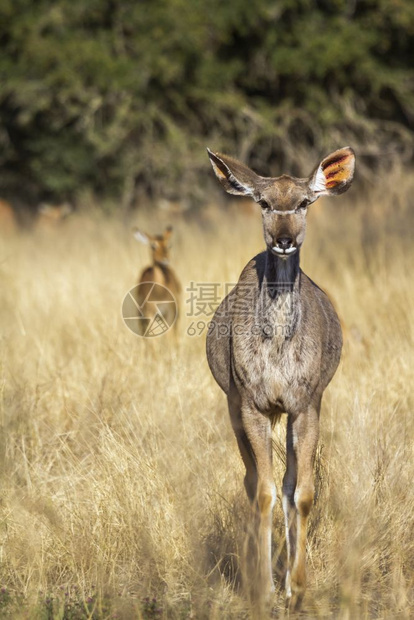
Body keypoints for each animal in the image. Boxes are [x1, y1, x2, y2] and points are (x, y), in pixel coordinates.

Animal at [205, 148, 354, 608]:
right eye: (264, 202)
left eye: (305, 202)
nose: (284, 240)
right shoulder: (251, 404)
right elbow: (263, 491)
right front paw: (264, 589)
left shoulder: (305, 404)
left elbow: (300, 492)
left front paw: (297, 587)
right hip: (234, 408)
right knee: (252, 482)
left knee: (286, 484)